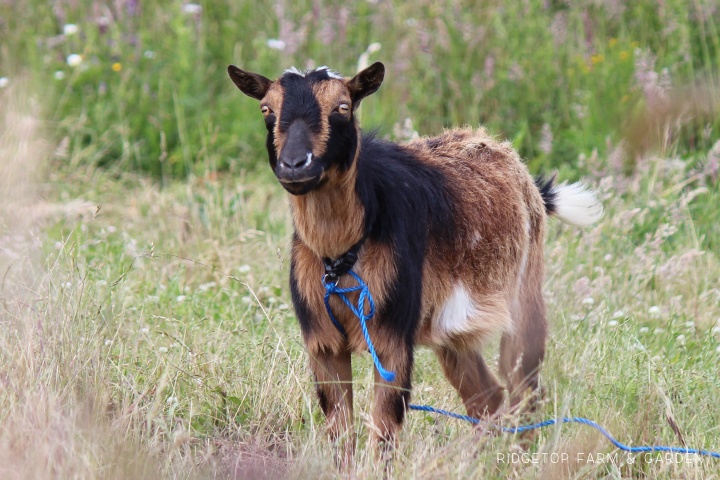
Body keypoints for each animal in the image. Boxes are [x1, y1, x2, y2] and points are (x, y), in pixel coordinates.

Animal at [228, 62, 604, 460]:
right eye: (266, 109)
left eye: (343, 107)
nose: (295, 165)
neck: (342, 254)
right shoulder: (323, 342)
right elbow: (341, 435)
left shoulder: (392, 337)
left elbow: (384, 431)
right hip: (452, 332)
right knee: (488, 398)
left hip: (524, 296)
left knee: (525, 390)